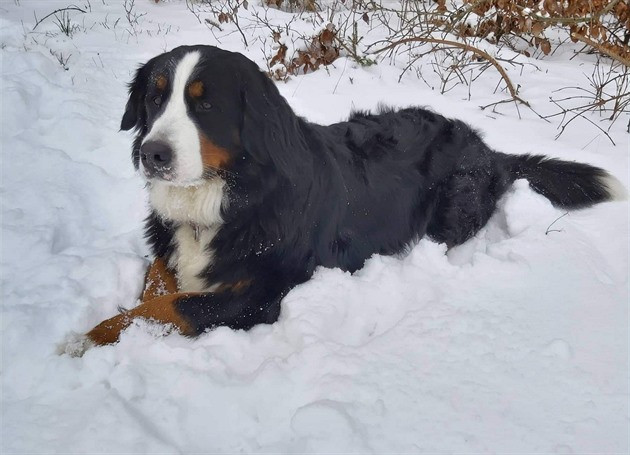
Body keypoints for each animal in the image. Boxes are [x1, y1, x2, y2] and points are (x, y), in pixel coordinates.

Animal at [71, 45, 624, 352]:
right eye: (155, 95)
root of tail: (490, 150)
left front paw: (88, 337)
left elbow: (170, 307)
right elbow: (157, 284)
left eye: (204, 104)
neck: (224, 197)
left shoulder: (260, 295)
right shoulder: (172, 248)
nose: (152, 153)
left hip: (452, 211)